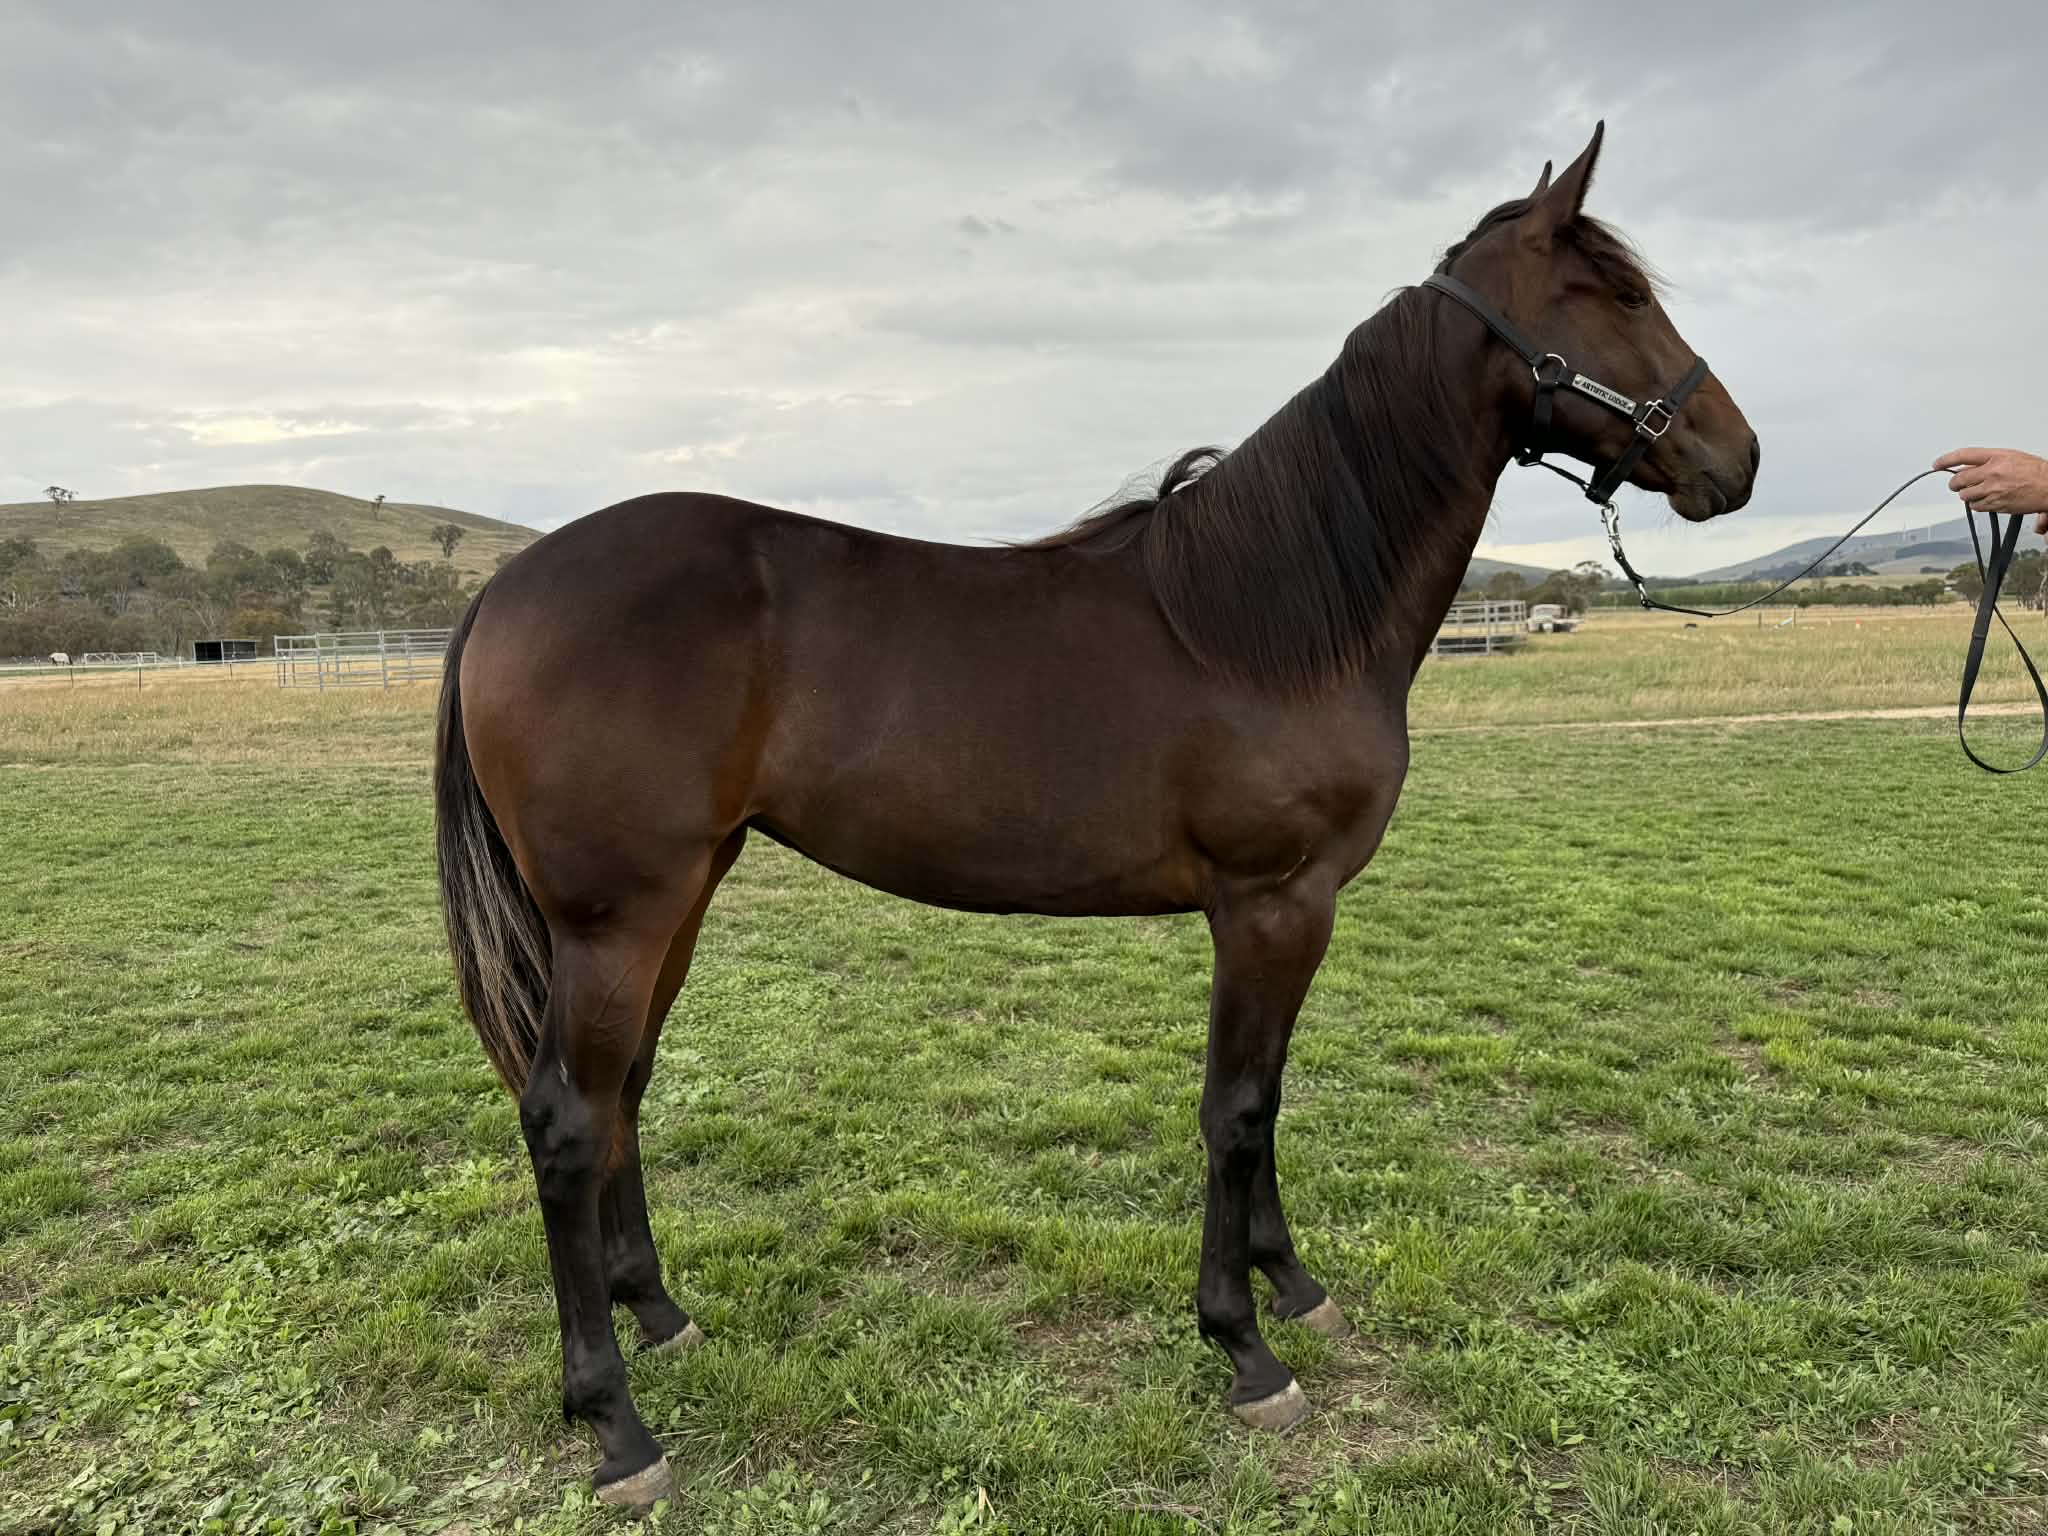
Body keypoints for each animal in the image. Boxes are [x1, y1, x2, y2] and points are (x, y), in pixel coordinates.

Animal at [434, 123, 1759, 1509]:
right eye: (1620, 296)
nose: (1739, 460)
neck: (1274, 615)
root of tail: (510, 587)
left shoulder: (1296, 913)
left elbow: (1266, 1096)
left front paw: (1293, 1287)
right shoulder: (1269, 903)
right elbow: (1234, 1109)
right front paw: (1242, 1347)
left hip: (675, 898)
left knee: (623, 1093)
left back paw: (661, 1316)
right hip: (616, 918)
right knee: (567, 1121)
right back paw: (615, 1425)